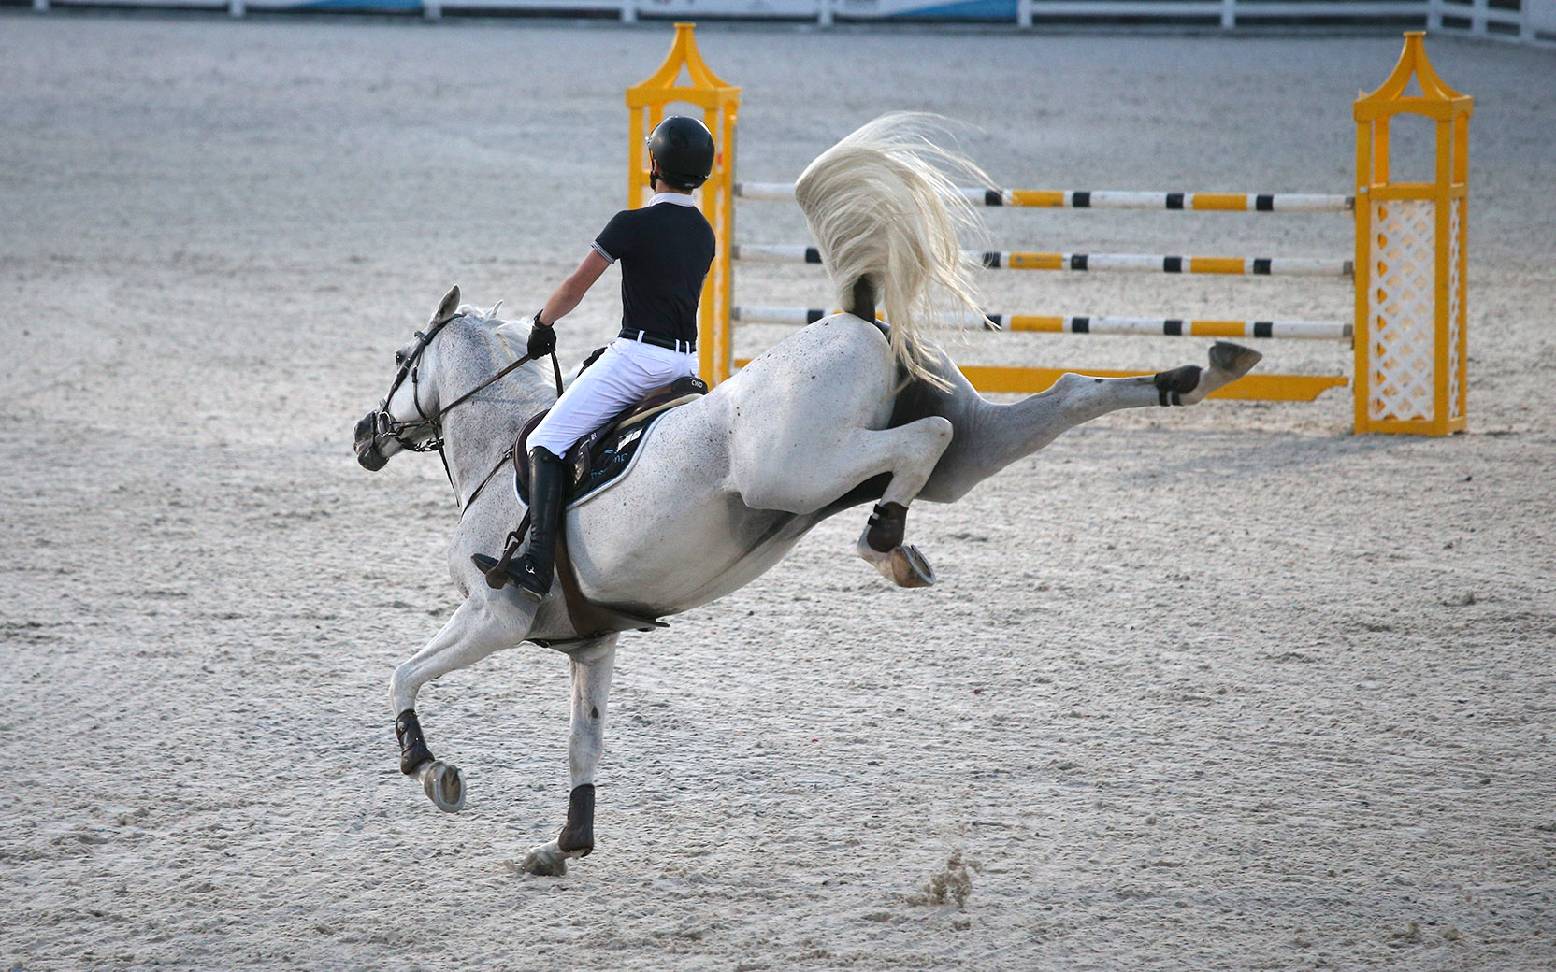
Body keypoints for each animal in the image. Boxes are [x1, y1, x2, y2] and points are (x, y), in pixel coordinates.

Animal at [352, 115, 1262, 876]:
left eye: (401, 357)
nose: (364, 435)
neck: (495, 449)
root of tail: (856, 319)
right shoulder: (592, 644)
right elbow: (584, 745)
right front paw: (563, 845)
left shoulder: (495, 614)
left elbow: (402, 674)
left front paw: (428, 768)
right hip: (970, 452)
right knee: (1058, 397)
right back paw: (1199, 372)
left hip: (795, 470)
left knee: (921, 446)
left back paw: (886, 541)